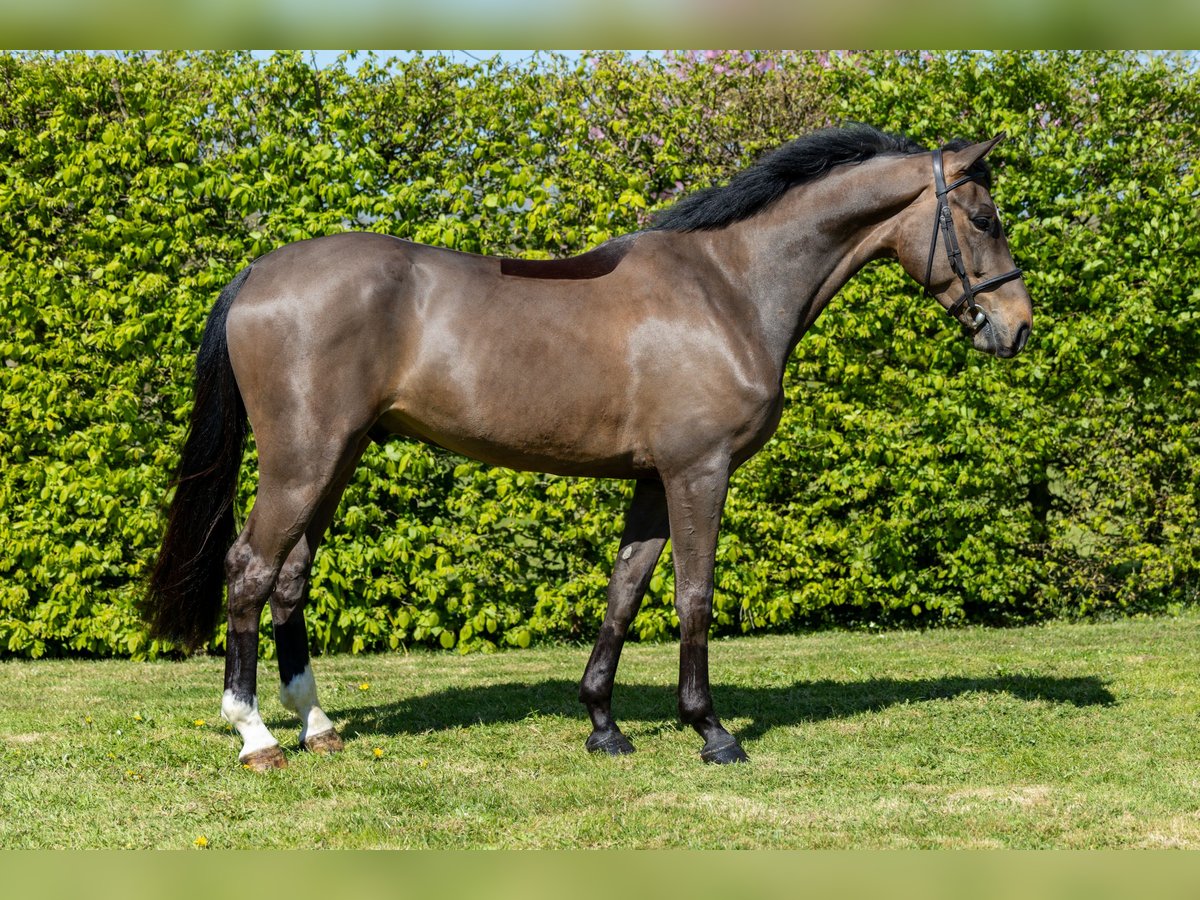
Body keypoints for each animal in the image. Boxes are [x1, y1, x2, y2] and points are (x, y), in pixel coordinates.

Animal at [145, 124, 1032, 770]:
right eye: (983, 219)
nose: (1016, 326)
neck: (728, 287)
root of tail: (257, 275)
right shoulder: (698, 471)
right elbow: (692, 597)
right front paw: (712, 731)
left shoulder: (651, 479)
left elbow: (624, 593)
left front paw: (603, 723)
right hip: (304, 461)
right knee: (250, 570)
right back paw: (256, 735)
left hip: (338, 459)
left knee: (290, 577)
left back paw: (318, 726)